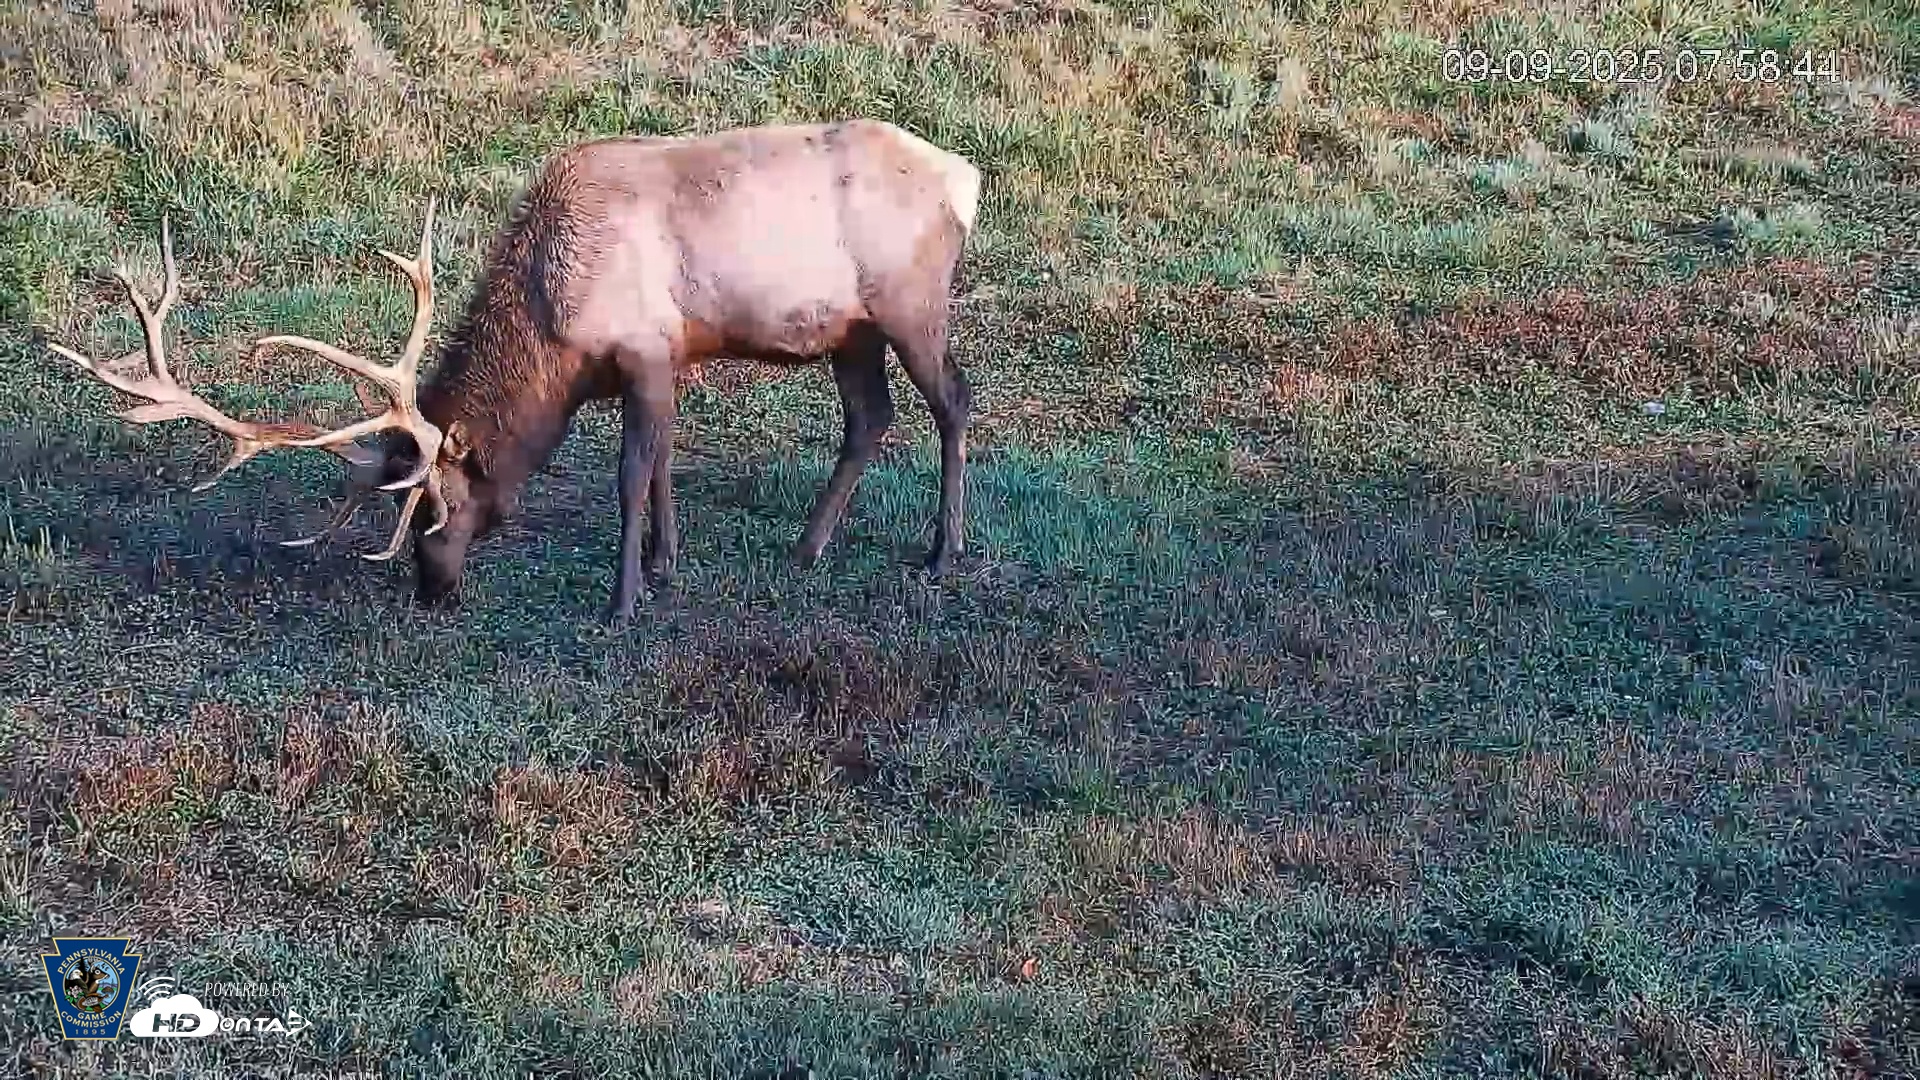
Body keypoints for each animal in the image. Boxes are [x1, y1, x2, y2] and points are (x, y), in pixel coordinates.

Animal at [50, 119, 982, 625]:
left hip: (912, 303)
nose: (431, 590)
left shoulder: (644, 349)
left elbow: (632, 474)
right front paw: (668, 564)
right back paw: (808, 547)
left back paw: (943, 553)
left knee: (953, 401)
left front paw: (623, 600)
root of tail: (966, 177)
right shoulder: (671, 355)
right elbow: (666, 465)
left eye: (439, 503)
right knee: (871, 417)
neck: (556, 331)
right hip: (851, 329)